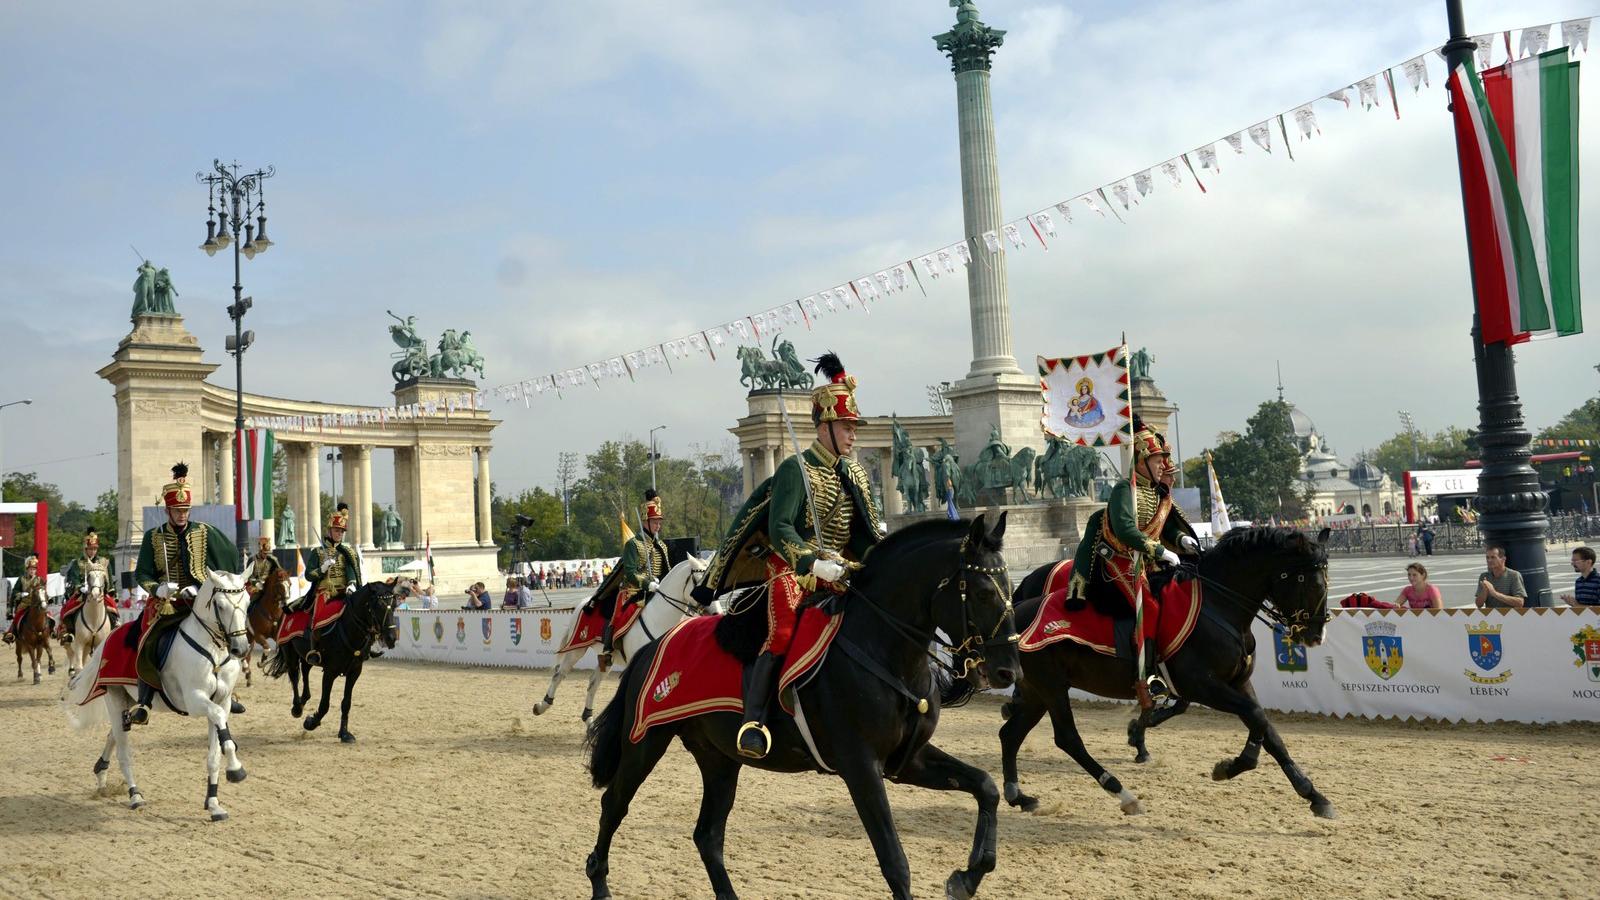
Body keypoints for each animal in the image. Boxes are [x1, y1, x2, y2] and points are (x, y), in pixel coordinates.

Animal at [61, 566, 252, 819]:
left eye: (247, 602)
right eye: (220, 605)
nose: (241, 648)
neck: (214, 651)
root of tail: (109, 639)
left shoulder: (223, 701)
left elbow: (214, 754)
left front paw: (213, 804)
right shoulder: (195, 700)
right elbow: (220, 725)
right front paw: (236, 769)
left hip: (127, 701)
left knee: (114, 734)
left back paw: (101, 774)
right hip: (115, 697)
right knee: (123, 750)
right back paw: (135, 795)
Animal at [262, 576, 400, 739]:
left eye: (394, 604)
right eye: (378, 605)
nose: (391, 638)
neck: (348, 628)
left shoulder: (355, 671)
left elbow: (346, 703)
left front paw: (344, 733)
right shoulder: (330, 672)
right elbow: (324, 704)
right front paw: (311, 722)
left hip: (307, 655)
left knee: (306, 670)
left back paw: (304, 699)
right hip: (289, 652)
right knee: (294, 675)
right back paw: (297, 707)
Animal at [531, 554, 720, 720]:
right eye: (700, 583)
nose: (717, 613)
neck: (658, 617)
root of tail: (582, 603)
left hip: (606, 658)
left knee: (592, 684)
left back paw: (589, 720)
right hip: (577, 649)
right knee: (559, 675)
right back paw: (542, 706)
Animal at [582, 512, 1017, 896]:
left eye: (1011, 587)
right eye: (983, 591)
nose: (1007, 671)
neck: (883, 650)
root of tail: (654, 647)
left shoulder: (907, 760)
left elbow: (986, 786)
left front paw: (968, 876)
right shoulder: (861, 767)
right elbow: (895, 862)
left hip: (719, 760)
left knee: (707, 835)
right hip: (645, 744)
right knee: (613, 804)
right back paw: (599, 883)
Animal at [998, 525, 1337, 819]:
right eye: (1309, 581)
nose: (1316, 635)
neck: (1218, 606)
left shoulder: (1238, 683)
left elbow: (1268, 729)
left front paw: (1312, 794)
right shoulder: (1202, 685)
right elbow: (1255, 717)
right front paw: (1235, 764)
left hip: (1038, 692)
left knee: (1010, 734)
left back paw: (1019, 796)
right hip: (1052, 688)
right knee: (1068, 738)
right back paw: (1123, 793)